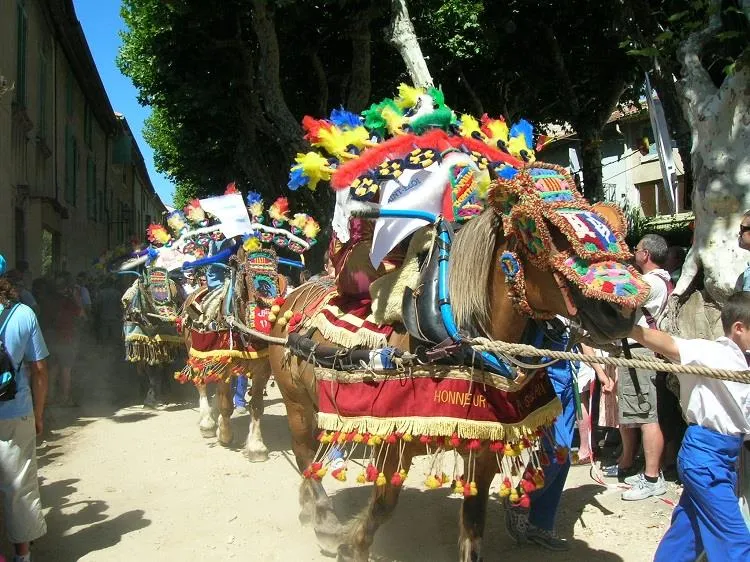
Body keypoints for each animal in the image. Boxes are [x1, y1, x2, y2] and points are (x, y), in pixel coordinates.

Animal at [266, 84, 652, 560]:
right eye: (538, 233)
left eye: (613, 227)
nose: (623, 308)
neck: (454, 331)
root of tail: (294, 294)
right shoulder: (393, 432)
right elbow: (382, 505)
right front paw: (350, 545)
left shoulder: (483, 437)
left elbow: (473, 523)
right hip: (297, 404)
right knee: (306, 457)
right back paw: (320, 518)